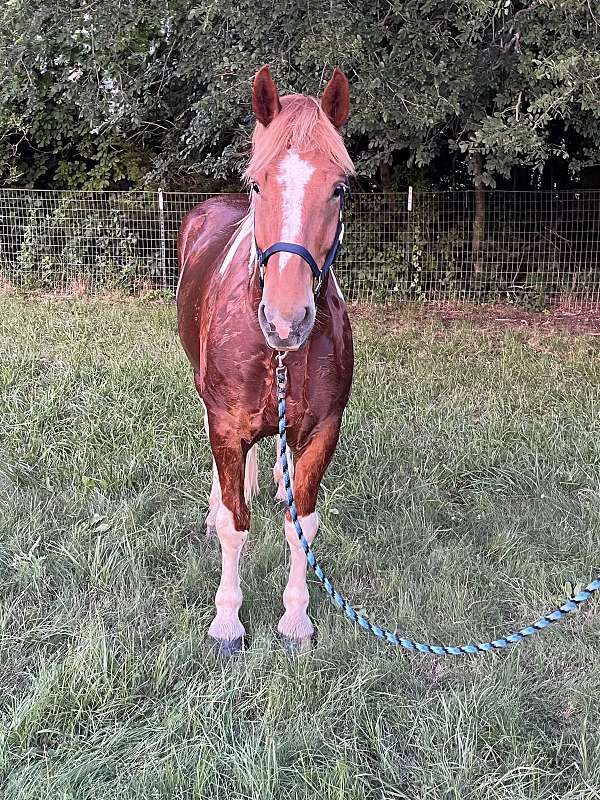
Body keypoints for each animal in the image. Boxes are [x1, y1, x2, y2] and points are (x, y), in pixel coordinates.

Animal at [176, 65, 355, 654]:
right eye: (257, 183)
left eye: (339, 187)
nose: (285, 319)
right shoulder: (226, 425)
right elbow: (235, 524)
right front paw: (228, 620)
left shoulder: (323, 429)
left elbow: (305, 524)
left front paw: (296, 616)